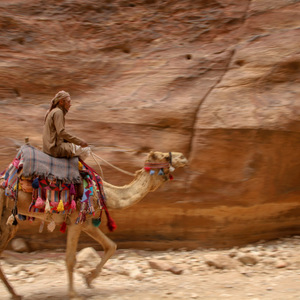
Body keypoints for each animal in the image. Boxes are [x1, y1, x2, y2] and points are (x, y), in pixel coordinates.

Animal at [0, 151, 188, 298]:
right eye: (165, 156)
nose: (184, 157)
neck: (105, 193)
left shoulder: (86, 223)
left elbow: (111, 245)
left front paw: (89, 279)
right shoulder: (75, 221)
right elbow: (70, 259)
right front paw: (73, 294)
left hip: (8, 220)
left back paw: (15, 294)